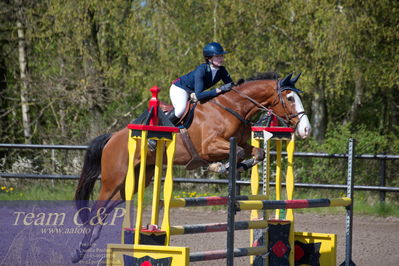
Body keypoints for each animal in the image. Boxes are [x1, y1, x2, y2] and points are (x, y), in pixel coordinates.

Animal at [70, 71, 310, 262]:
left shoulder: (242, 142)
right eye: (290, 98)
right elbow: (236, 153)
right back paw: (79, 250)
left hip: (138, 179)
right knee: (96, 209)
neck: (233, 108)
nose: (306, 129)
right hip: (114, 178)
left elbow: (257, 153)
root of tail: (113, 137)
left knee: (107, 209)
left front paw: (241, 166)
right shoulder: (209, 146)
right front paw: (219, 167)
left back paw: (87, 245)